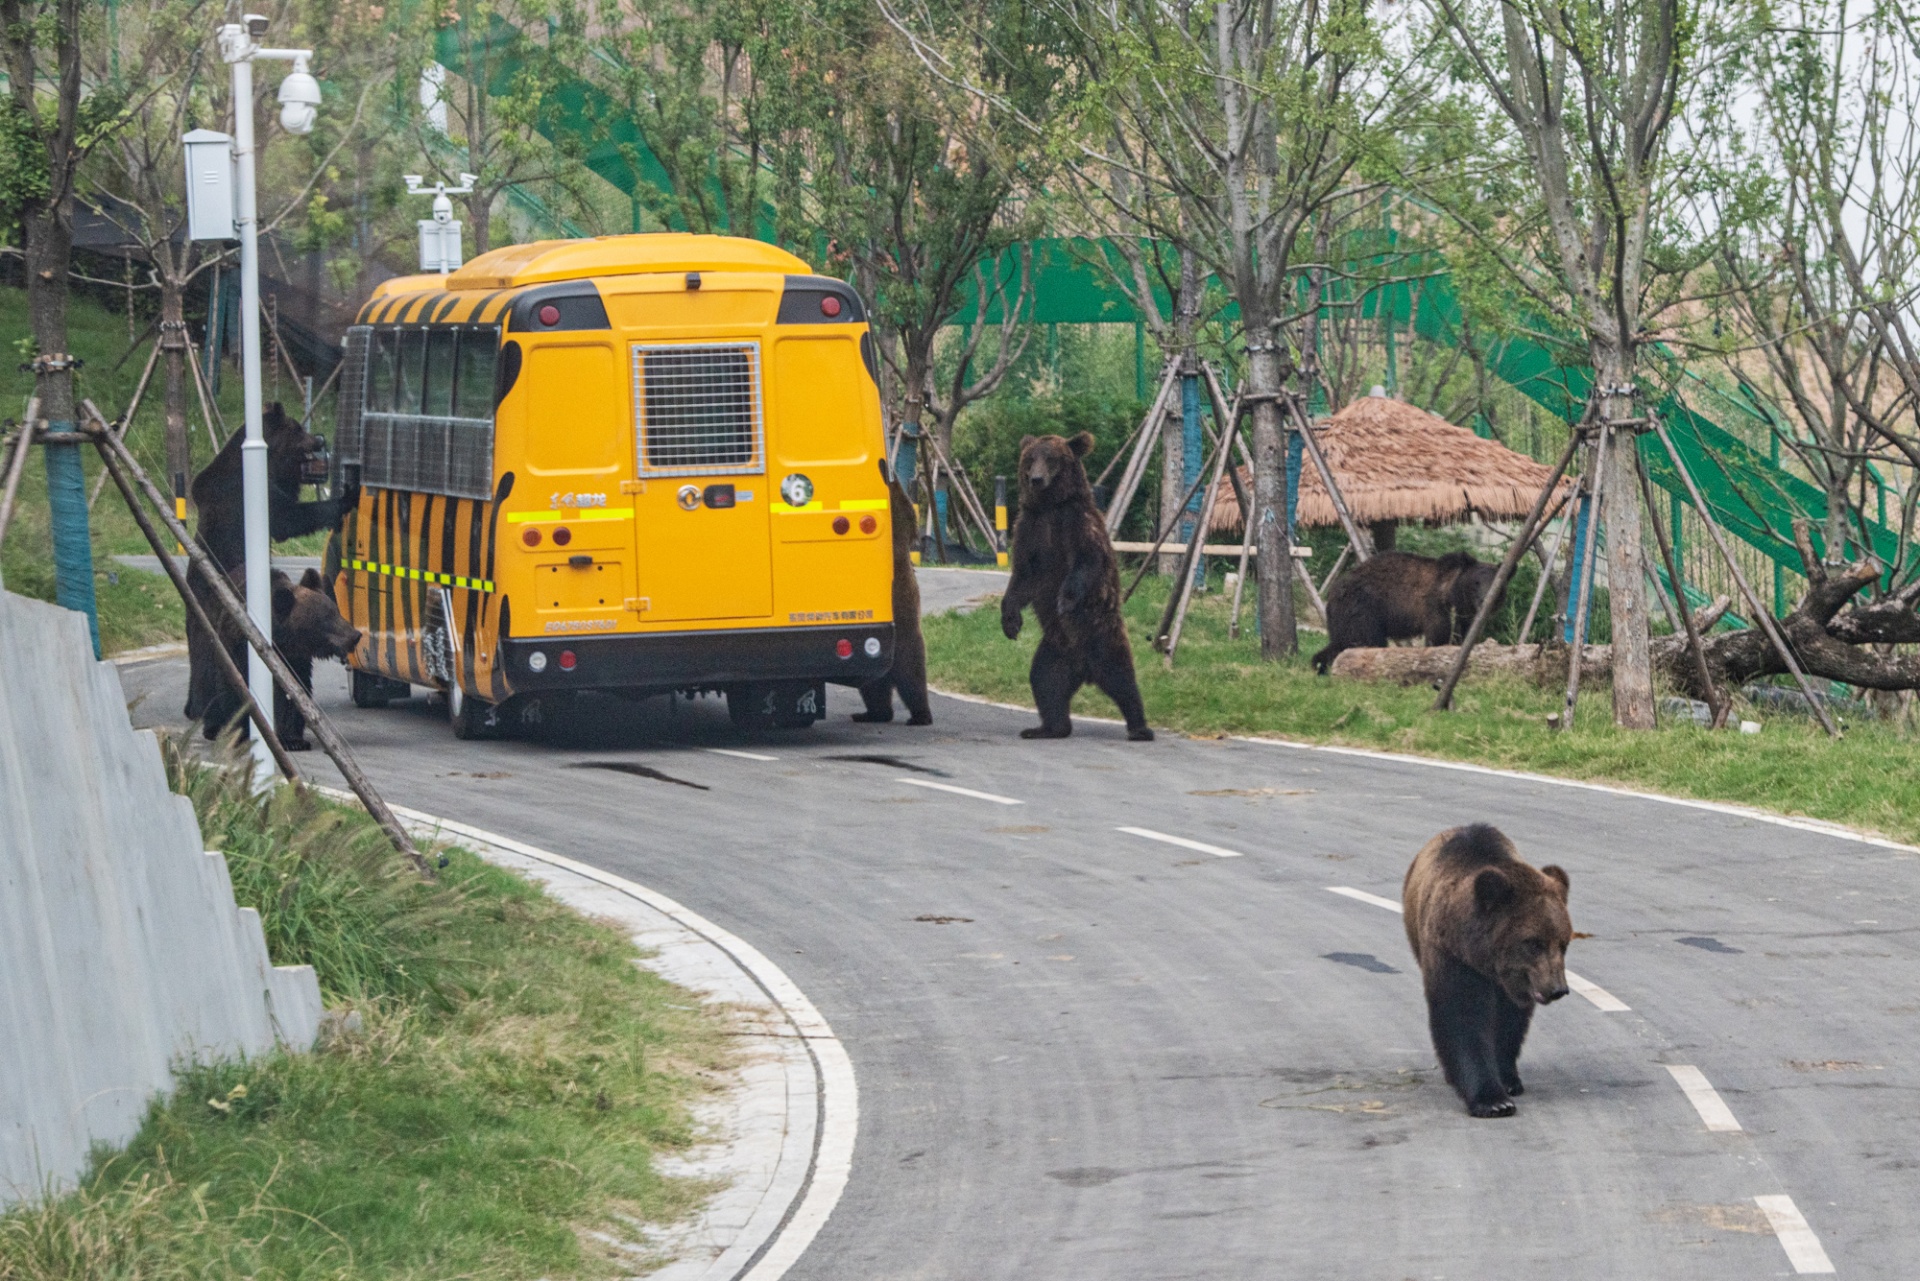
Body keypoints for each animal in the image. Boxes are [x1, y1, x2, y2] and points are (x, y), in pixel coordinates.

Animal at [185, 402, 346, 721]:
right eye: (299, 429)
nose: (318, 440)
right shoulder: (250, 492)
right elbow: (289, 518)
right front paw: (344, 500)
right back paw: (204, 706)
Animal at [199, 567, 363, 751]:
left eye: (336, 611)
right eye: (325, 618)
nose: (355, 635)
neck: (279, 640)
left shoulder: (296, 661)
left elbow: (294, 694)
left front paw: (293, 740)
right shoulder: (239, 650)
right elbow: (235, 689)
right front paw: (241, 733)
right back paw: (212, 728)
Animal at [999, 432, 1152, 742]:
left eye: (1051, 458)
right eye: (1030, 458)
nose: (1036, 479)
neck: (1049, 505)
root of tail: (1085, 671)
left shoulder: (1077, 524)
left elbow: (1086, 561)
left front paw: (1065, 601)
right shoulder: (1029, 529)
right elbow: (1022, 577)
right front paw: (1010, 621)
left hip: (1102, 638)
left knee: (1122, 680)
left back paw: (1140, 728)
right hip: (1056, 650)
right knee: (1045, 681)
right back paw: (1046, 728)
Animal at [1311, 550, 1502, 675]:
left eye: (1496, 583)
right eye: (1476, 582)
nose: (1487, 601)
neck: (1450, 592)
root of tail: (1333, 593)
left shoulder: (1463, 613)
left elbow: (1462, 634)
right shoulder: (1432, 606)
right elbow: (1438, 634)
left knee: (1340, 642)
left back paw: (1320, 665)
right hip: (1363, 610)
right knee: (1365, 640)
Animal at [1402, 823, 1572, 1118]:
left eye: (1563, 943)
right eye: (1533, 943)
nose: (1557, 988)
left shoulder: (1517, 986)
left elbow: (1510, 1024)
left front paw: (1508, 1079)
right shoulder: (1453, 956)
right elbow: (1462, 1016)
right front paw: (1493, 1100)